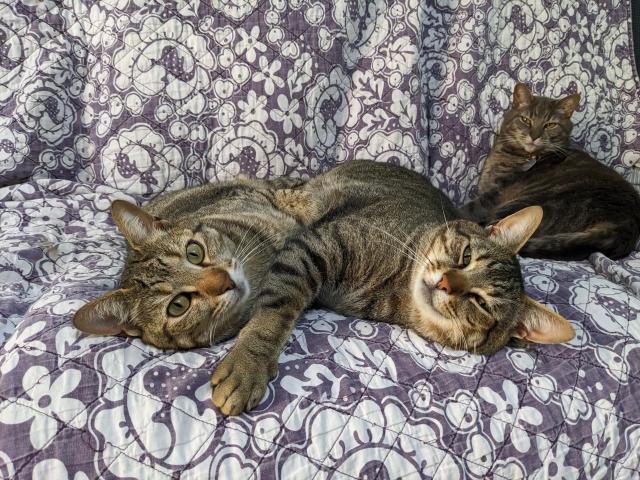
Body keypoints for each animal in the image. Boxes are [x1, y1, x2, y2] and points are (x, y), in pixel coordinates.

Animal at [210, 161, 576, 416]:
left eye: (482, 304)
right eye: (466, 256)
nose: (446, 282)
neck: (396, 287)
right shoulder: (316, 245)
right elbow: (275, 312)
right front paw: (248, 365)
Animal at [460, 84, 640, 260]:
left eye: (550, 125)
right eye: (525, 120)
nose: (534, 136)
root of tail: (625, 227)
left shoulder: (495, 195)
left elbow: (469, 209)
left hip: (530, 203)